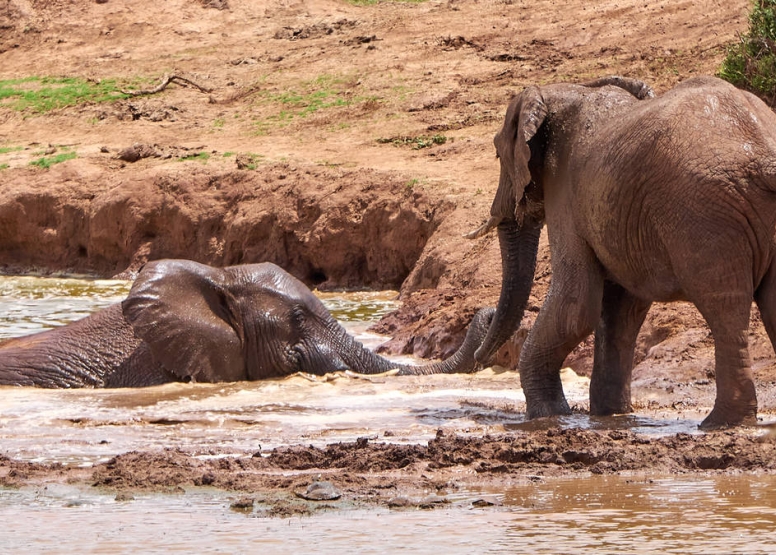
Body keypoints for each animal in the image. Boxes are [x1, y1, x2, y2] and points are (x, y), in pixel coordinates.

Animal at [470, 75, 776, 430]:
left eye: (497, 154)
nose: (477, 358)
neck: (559, 92)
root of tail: (763, 151)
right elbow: (622, 310)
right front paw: (608, 415)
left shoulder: (565, 191)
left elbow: (575, 306)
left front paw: (547, 416)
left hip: (706, 215)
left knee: (724, 306)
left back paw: (719, 423)